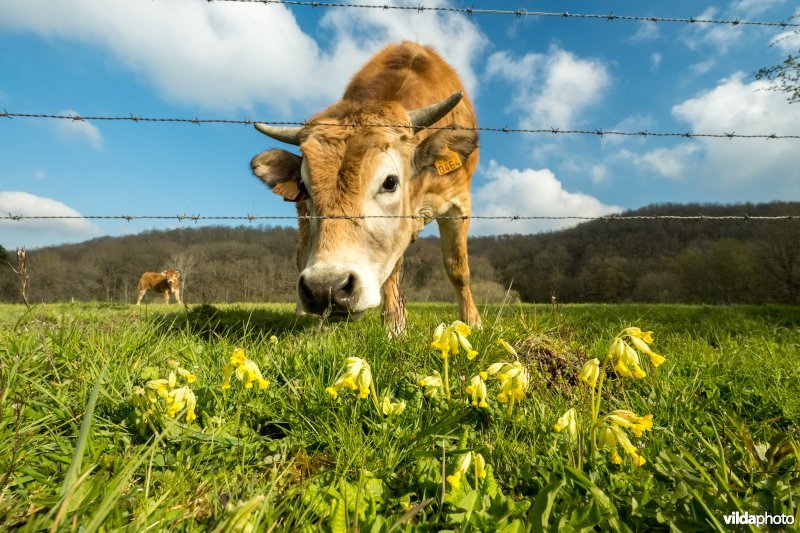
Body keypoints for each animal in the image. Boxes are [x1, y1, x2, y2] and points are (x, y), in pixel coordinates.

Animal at [253, 41, 482, 334]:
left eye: (390, 182)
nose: (324, 288)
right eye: (304, 185)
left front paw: (472, 322)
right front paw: (395, 326)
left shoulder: (458, 204)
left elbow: (458, 268)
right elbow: (393, 269)